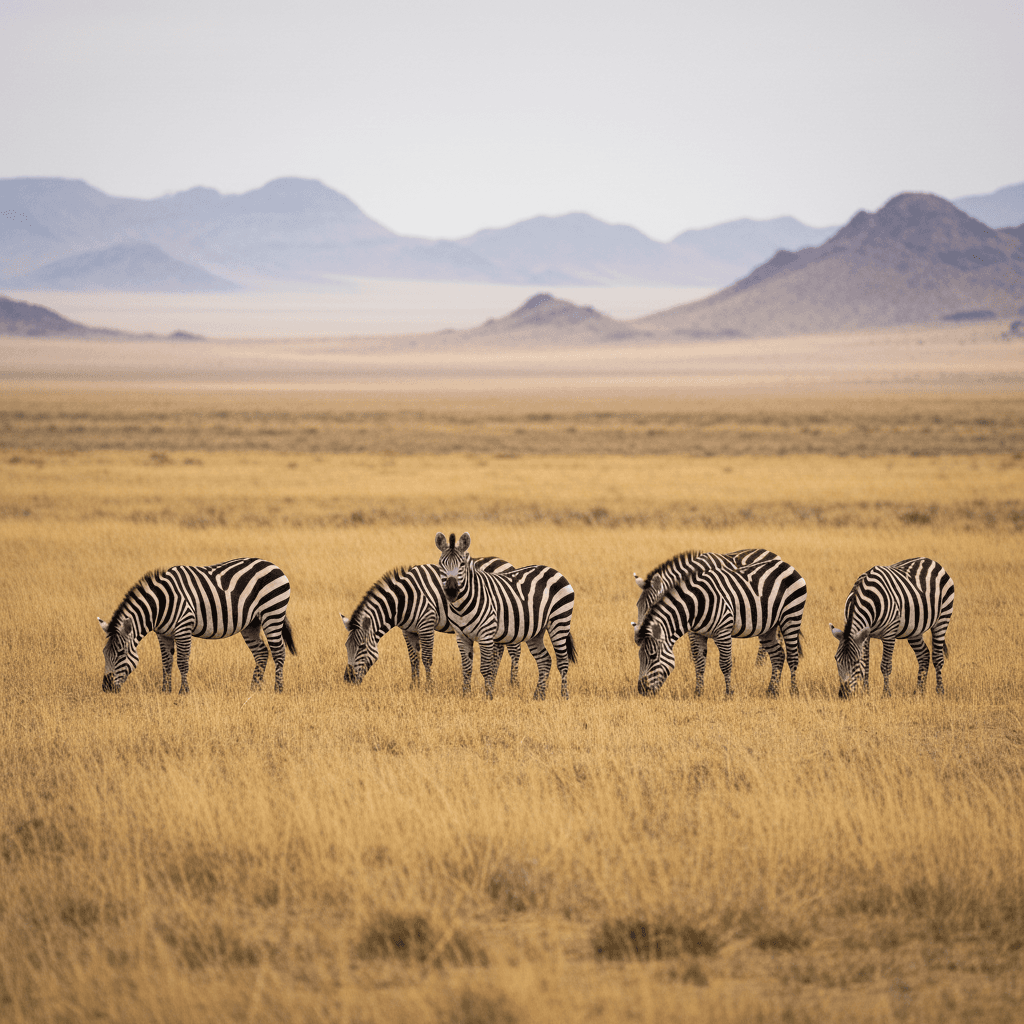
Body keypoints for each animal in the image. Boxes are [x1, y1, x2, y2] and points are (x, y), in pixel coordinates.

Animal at [97, 558, 295, 694]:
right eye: (104, 654)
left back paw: (278, 689)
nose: (106, 688)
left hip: (272, 613)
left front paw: (183, 692)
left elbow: (182, 662)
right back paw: (254, 688)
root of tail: (273, 565)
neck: (161, 604)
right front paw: (165, 691)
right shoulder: (163, 634)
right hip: (251, 623)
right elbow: (166, 662)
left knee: (278, 651)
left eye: (121, 653)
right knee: (262, 652)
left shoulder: (183, 627)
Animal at [340, 557, 522, 689]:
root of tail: (507, 563)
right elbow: (413, 658)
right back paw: (496, 679)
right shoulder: (408, 630)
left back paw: (513, 685)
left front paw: (429, 687)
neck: (404, 600)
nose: (347, 680)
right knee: (499, 650)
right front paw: (414, 686)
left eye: (362, 647)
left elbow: (426, 658)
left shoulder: (426, 624)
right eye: (346, 647)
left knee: (514, 650)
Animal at [436, 532, 576, 700]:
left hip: (559, 621)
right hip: (536, 630)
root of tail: (553, 570)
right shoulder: (461, 636)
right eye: (441, 564)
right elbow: (467, 668)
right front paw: (466, 696)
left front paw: (488, 696)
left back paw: (564, 696)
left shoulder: (486, 634)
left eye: (462, 564)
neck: (462, 607)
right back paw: (538, 696)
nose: (451, 591)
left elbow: (486, 668)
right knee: (545, 660)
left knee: (562, 662)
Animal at [634, 557, 806, 697]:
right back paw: (772, 691)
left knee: (792, 657)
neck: (695, 606)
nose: (641, 690)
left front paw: (729, 693)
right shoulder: (697, 633)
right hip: (767, 627)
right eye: (640, 657)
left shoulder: (723, 631)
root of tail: (785, 564)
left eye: (653, 656)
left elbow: (725, 663)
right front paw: (698, 693)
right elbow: (699, 662)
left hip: (791, 615)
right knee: (778, 655)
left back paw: (794, 691)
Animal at [829, 557, 955, 698]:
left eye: (854, 662)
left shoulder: (889, 632)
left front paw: (886, 694)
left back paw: (940, 692)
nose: (843, 694)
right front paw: (866, 692)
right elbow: (866, 664)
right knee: (924, 655)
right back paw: (919, 692)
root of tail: (930, 560)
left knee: (937, 657)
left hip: (943, 617)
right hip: (914, 629)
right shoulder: (865, 635)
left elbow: (885, 665)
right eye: (836, 659)